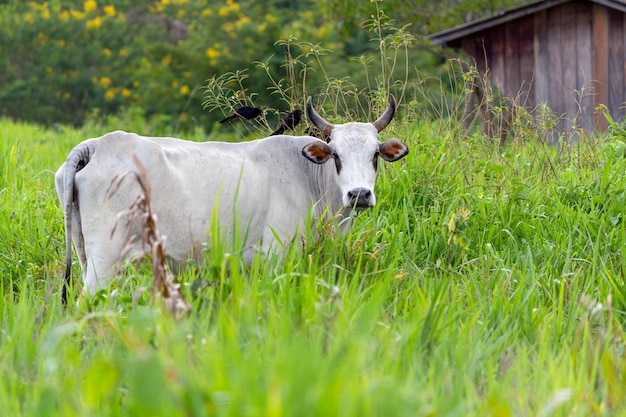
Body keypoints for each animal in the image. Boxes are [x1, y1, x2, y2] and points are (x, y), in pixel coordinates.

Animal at [56, 94, 408, 298]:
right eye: (336, 155)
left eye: (375, 155)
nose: (359, 194)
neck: (307, 175)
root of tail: (95, 144)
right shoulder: (276, 254)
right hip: (105, 260)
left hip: (85, 250)